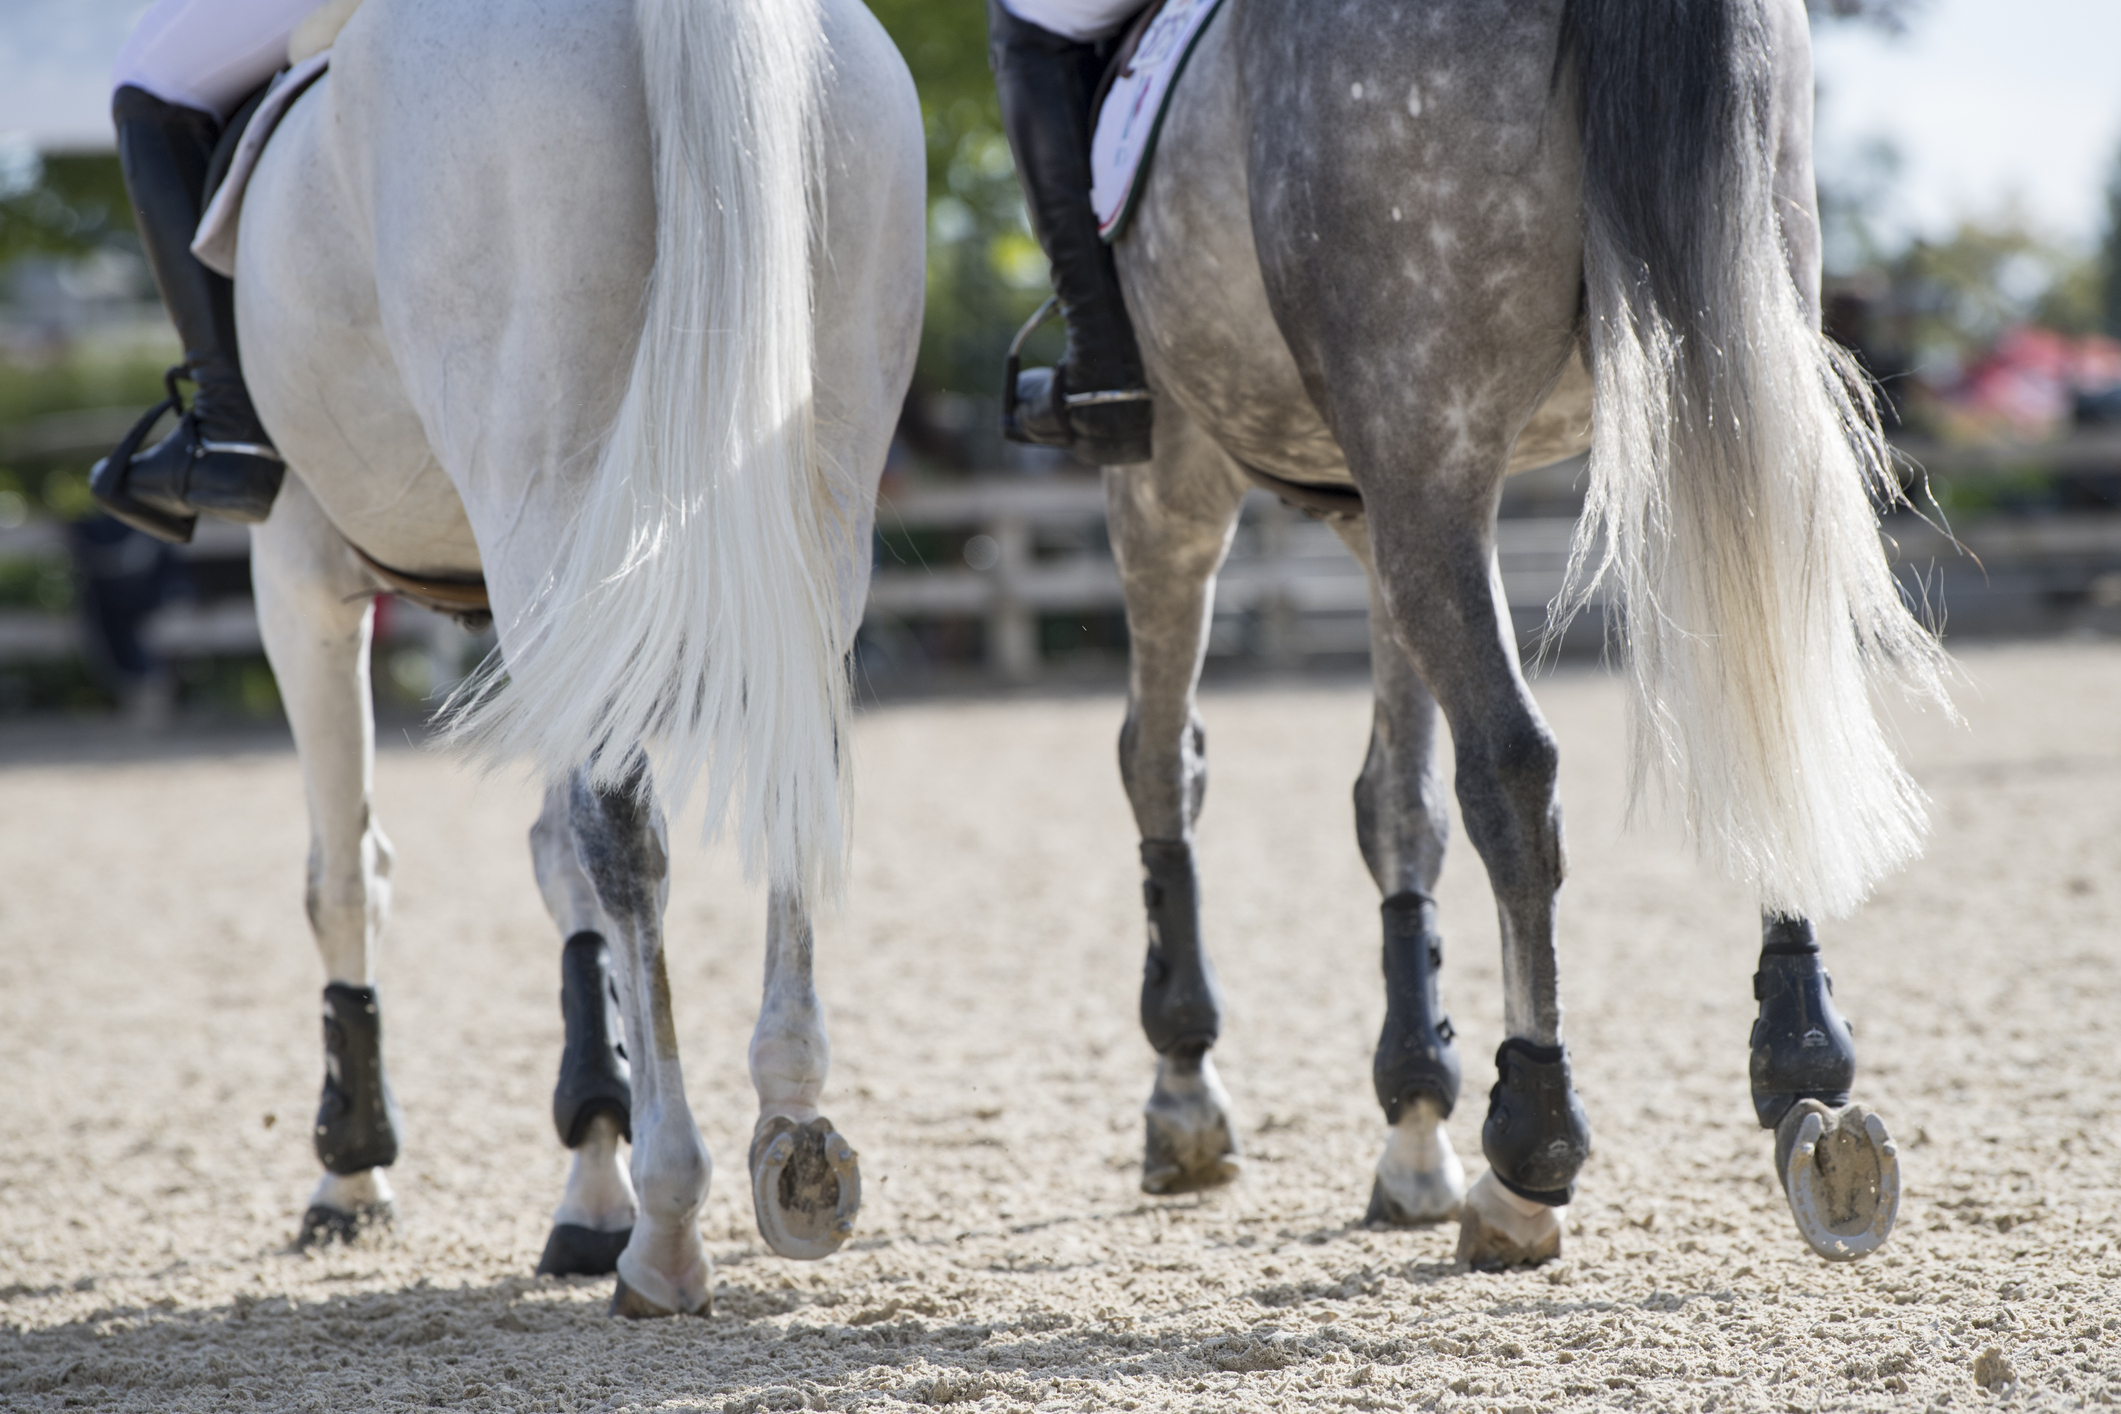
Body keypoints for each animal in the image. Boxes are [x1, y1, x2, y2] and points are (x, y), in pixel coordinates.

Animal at [234, 0, 928, 1314]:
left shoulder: (299, 567)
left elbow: (345, 871)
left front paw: (353, 1170)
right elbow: (558, 869)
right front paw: (586, 1173)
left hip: (539, 493)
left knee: (623, 835)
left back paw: (669, 1222)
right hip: (813, 498)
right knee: (785, 776)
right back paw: (793, 1139)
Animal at [1102, 0, 1942, 1263]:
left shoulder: (1177, 476)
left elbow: (1166, 763)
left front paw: (1187, 1086)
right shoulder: (1375, 507)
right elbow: (1397, 804)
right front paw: (1412, 1120)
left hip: (1413, 446)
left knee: (1511, 767)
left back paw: (1531, 1146)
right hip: (1710, 357)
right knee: (1766, 684)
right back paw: (1806, 1082)